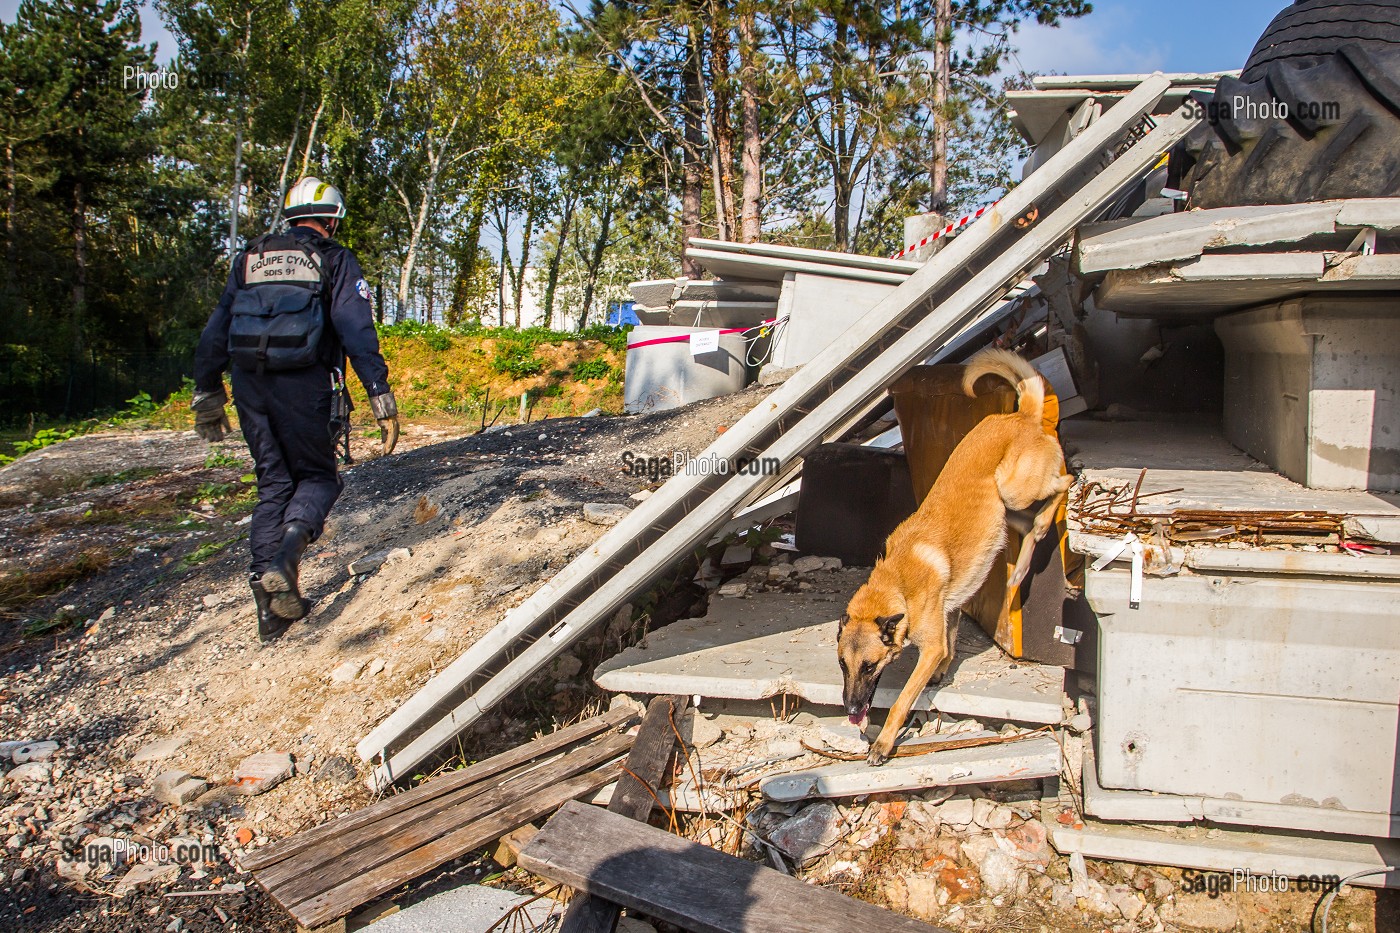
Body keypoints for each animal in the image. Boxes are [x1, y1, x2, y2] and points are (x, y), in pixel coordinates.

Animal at [840, 348, 1069, 762]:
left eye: (869, 667)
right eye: (842, 665)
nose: (850, 710)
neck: (897, 584)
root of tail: (1022, 415)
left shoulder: (928, 646)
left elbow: (902, 700)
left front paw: (883, 743)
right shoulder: (947, 615)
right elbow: (949, 643)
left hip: (1014, 489)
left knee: (1065, 482)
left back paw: (1046, 525)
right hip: (1005, 510)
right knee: (1032, 524)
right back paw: (1022, 565)